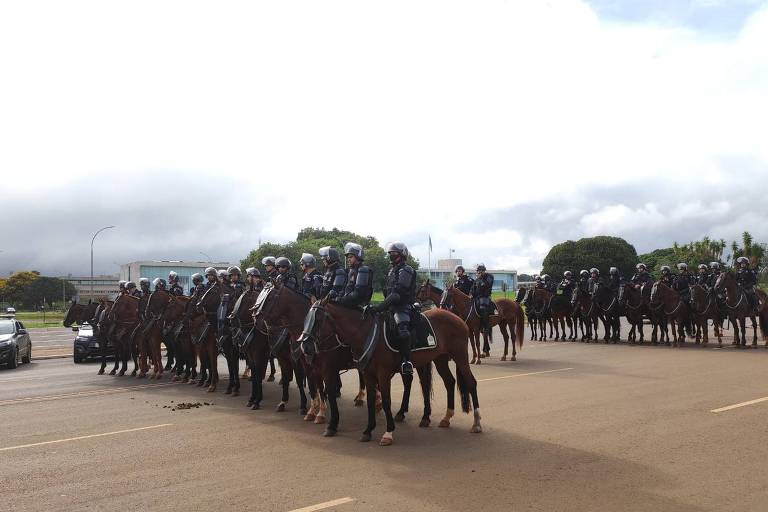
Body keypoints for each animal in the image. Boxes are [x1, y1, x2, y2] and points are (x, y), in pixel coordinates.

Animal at [308, 302, 480, 446]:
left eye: (317, 320)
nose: (305, 344)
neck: (366, 333)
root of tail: (458, 319)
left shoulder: (383, 373)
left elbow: (386, 401)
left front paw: (388, 433)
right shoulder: (368, 374)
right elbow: (370, 401)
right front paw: (368, 430)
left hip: (460, 356)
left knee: (471, 383)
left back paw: (476, 423)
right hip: (440, 359)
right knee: (449, 382)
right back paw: (446, 417)